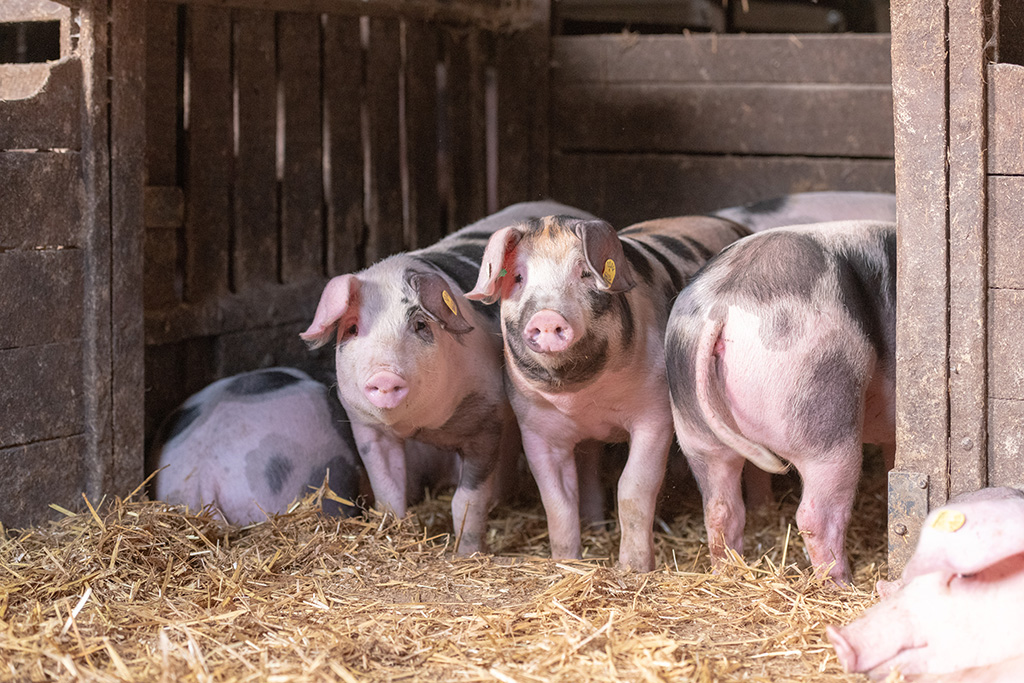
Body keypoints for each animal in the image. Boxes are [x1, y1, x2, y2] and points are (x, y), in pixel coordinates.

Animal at [301, 201, 596, 555]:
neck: (422, 427)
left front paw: (467, 552)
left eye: (420, 325)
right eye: (353, 328)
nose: (384, 375)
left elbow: (466, 500)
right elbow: (389, 494)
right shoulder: (368, 429)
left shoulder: (485, 420)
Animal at [467, 214, 750, 571]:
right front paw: (567, 561)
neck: (581, 398)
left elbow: (633, 487)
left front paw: (633, 568)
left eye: (585, 273)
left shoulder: (655, 414)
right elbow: (557, 500)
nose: (547, 317)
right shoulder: (535, 426)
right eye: (518, 276)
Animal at [665, 220, 896, 583]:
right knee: (816, 515)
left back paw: (728, 573)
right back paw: (842, 585)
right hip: (822, 411)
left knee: (720, 508)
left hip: (694, 428)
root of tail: (721, 305)